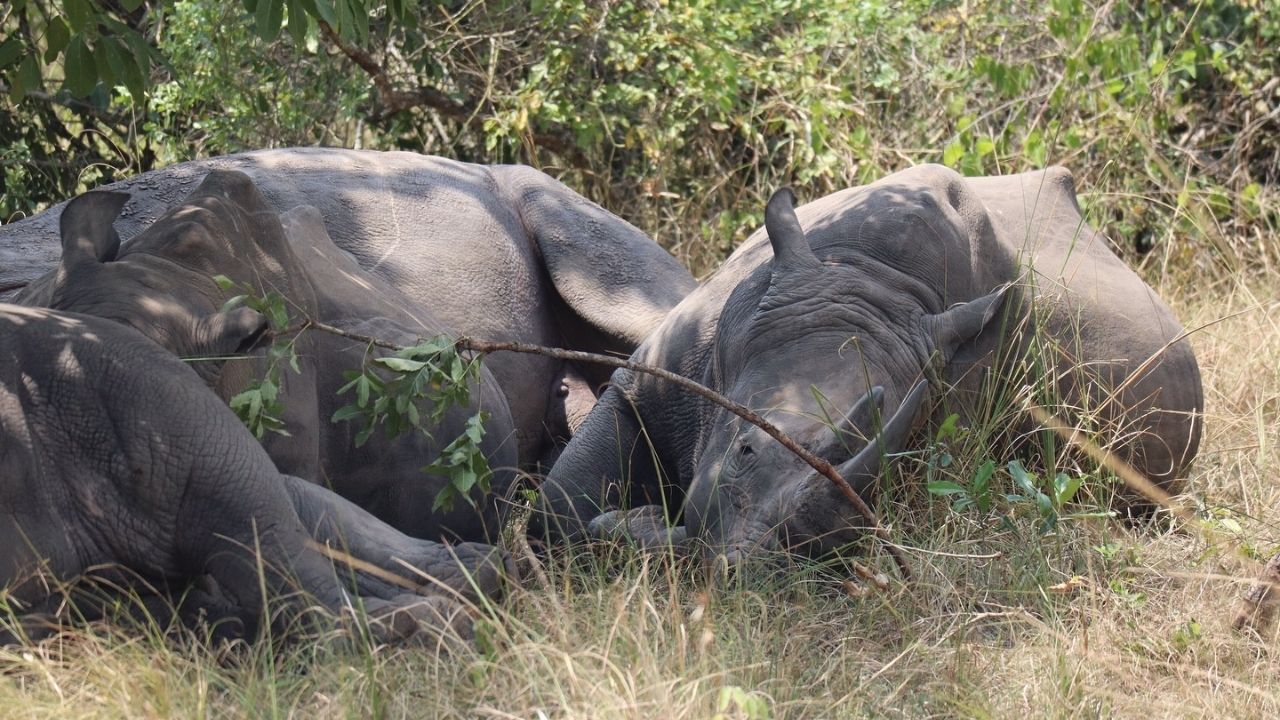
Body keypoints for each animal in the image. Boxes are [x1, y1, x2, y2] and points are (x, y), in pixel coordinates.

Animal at [532, 165, 1204, 564]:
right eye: (744, 448)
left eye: (879, 486)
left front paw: (640, 526)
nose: (749, 559)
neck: (864, 273)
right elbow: (559, 509)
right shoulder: (657, 374)